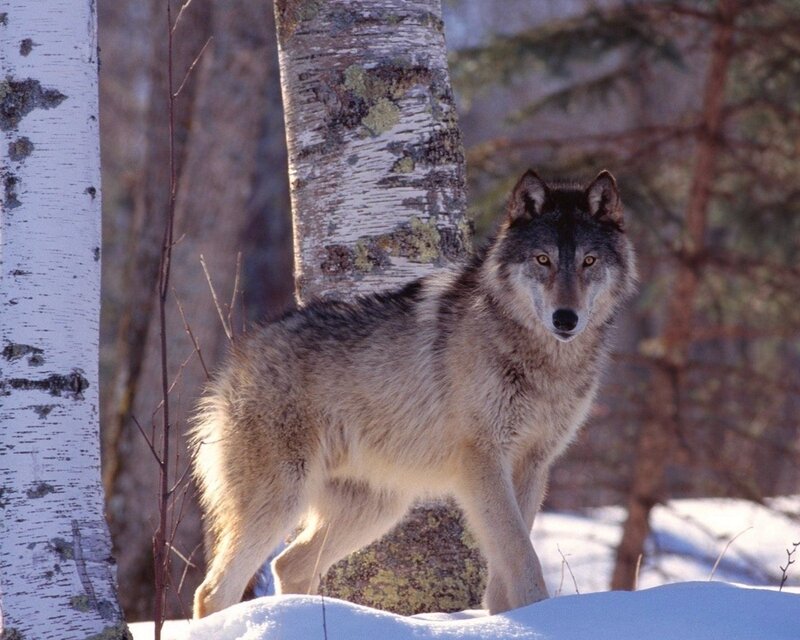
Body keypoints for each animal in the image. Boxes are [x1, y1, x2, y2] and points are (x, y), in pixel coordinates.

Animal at [191, 169, 636, 618]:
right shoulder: (482, 461)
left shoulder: (533, 465)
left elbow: (507, 565)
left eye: (589, 262)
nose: (565, 319)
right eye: (543, 260)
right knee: (212, 591)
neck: (544, 363)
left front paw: (508, 620)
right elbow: (522, 556)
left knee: (288, 565)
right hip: (282, 501)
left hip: (377, 510)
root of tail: (236, 358)